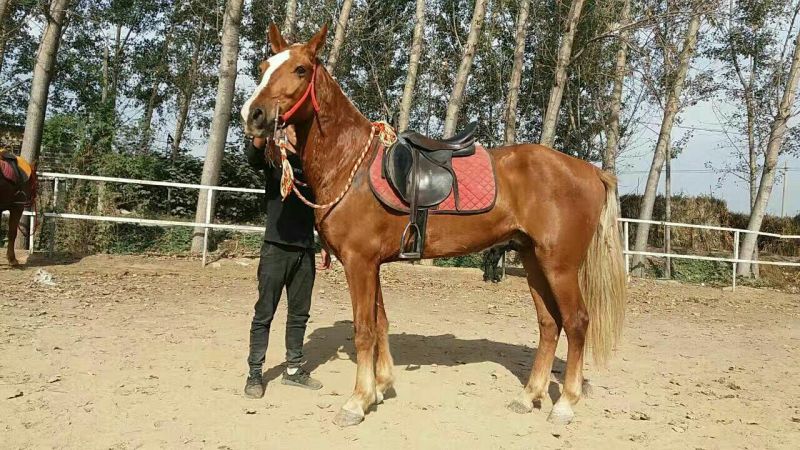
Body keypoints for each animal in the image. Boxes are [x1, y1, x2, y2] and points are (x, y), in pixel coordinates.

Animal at [241, 24, 627, 427]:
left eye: (300, 69)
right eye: (264, 66)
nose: (254, 115)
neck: (351, 165)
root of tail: (590, 171)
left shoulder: (359, 263)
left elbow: (364, 330)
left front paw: (357, 401)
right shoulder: (373, 264)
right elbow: (380, 323)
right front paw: (380, 387)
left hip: (560, 266)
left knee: (577, 322)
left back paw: (564, 403)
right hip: (534, 260)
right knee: (550, 324)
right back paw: (528, 396)